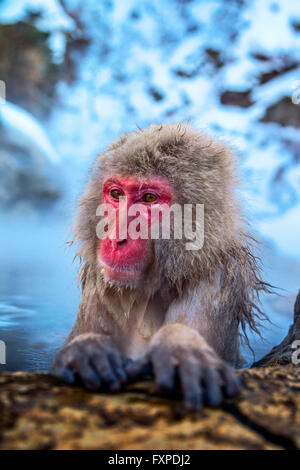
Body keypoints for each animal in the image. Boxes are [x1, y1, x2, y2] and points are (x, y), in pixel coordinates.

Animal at [52, 123, 268, 410]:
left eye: (149, 198)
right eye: (116, 194)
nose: (116, 238)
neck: (156, 285)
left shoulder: (220, 275)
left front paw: (181, 347)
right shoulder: (100, 280)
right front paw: (86, 347)